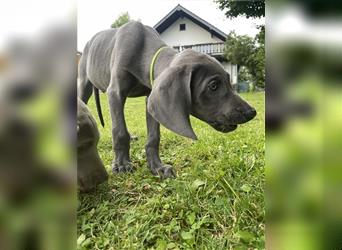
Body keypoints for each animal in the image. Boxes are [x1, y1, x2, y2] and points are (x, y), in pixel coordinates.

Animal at [77, 21, 254, 178]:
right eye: (214, 85)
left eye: (228, 81)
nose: (252, 112)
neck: (143, 49)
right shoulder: (115, 92)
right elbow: (119, 131)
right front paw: (121, 164)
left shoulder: (151, 98)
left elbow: (154, 137)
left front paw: (157, 167)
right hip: (84, 82)